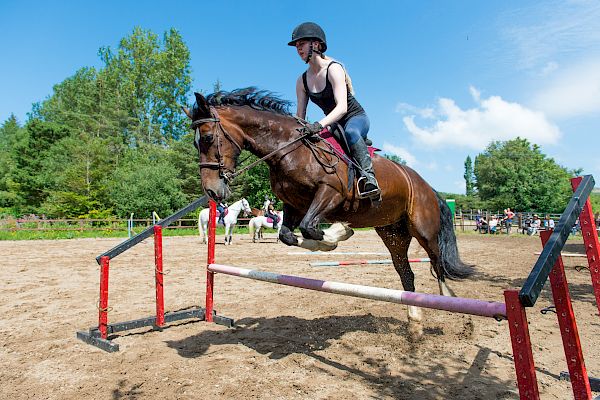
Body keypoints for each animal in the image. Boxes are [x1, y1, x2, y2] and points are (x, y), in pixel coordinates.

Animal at [185, 88, 476, 338]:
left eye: (207, 138)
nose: (211, 191)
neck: (288, 148)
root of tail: (426, 184)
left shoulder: (330, 193)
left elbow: (309, 228)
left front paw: (339, 232)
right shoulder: (294, 205)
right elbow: (290, 235)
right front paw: (334, 238)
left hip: (423, 230)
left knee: (438, 263)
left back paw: (451, 301)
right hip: (392, 233)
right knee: (407, 274)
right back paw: (415, 322)